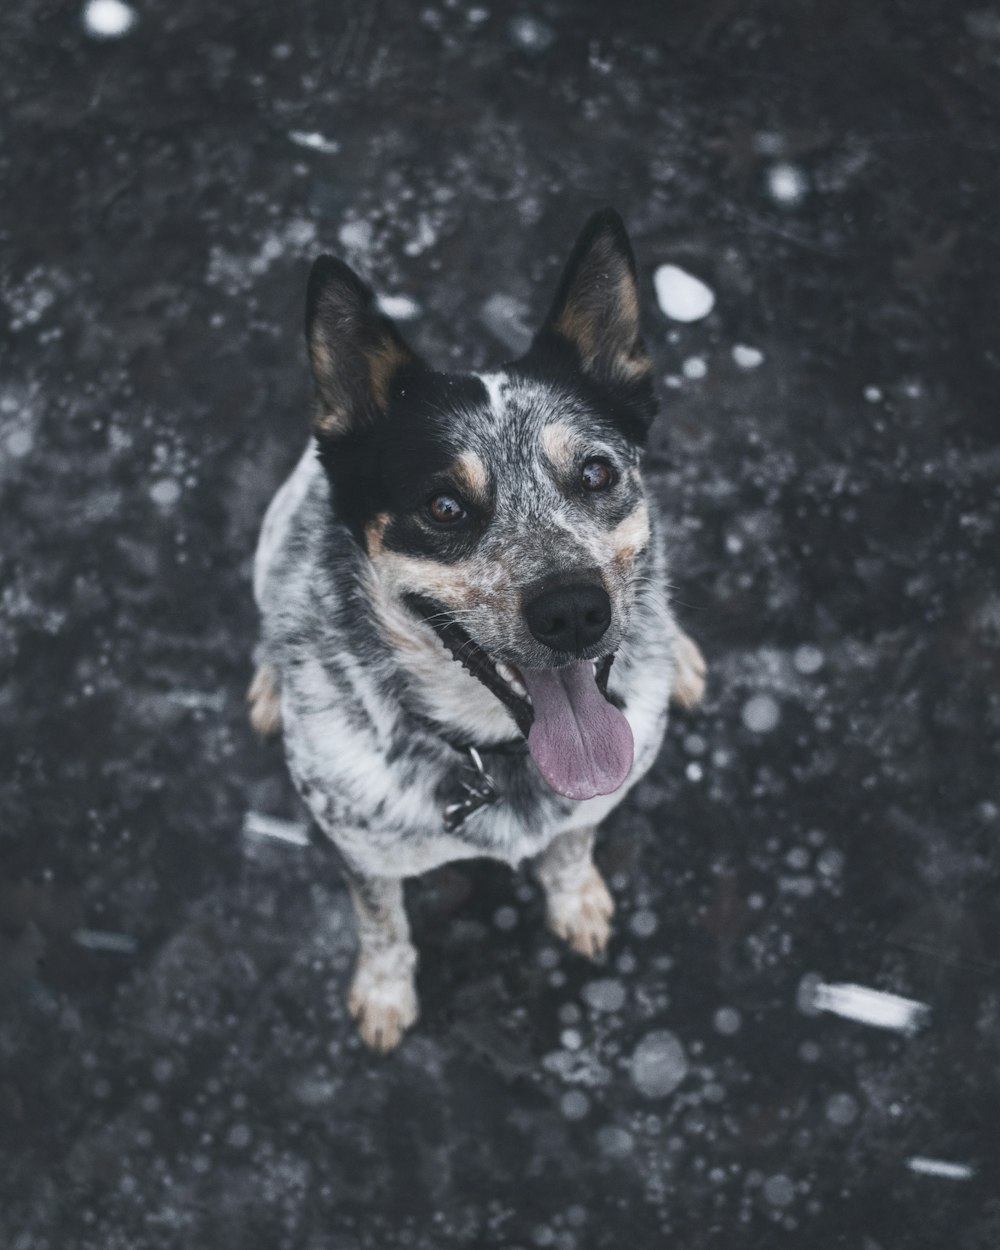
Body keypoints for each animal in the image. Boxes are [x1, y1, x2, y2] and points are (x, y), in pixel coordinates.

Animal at [248, 210, 705, 1050]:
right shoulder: (361, 848)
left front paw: (576, 900)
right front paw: (385, 993)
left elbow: (573, 844)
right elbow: (382, 924)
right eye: (443, 507)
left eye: (596, 472)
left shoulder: (593, 802)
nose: (574, 610)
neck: (498, 753)